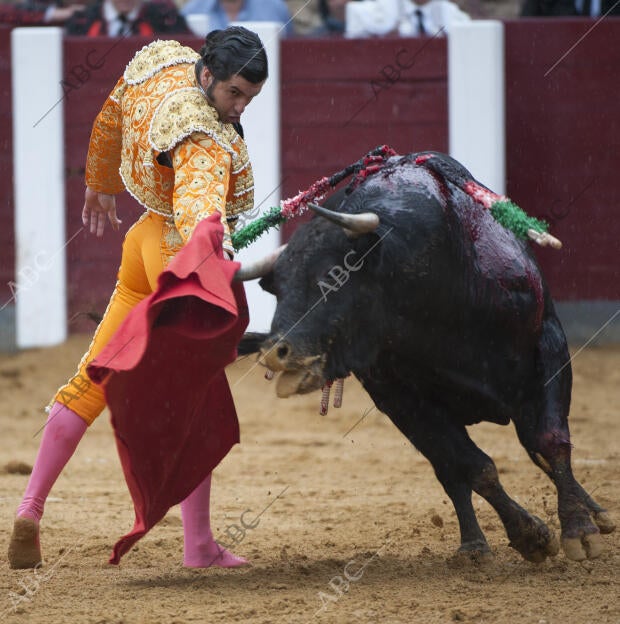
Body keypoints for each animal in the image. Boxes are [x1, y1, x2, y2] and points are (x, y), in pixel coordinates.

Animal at [235, 152, 612, 564]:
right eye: (276, 288)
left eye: (331, 277)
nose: (276, 351)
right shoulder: (399, 398)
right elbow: (473, 467)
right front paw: (530, 536)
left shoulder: (548, 344)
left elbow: (549, 442)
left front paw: (580, 531)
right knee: (450, 471)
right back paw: (473, 545)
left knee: (533, 448)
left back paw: (596, 515)